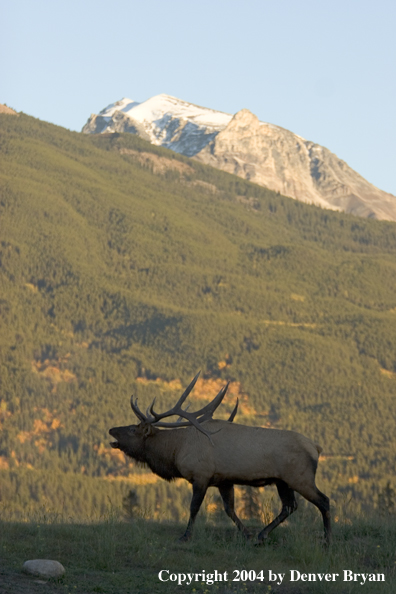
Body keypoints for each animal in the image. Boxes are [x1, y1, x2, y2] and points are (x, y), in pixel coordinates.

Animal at [109, 372, 332, 544]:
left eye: (133, 429)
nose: (111, 430)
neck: (176, 450)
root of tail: (316, 447)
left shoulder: (201, 475)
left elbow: (194, 507)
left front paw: (185, 537)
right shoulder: (224, 480)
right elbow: (229, 509)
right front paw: (247, 534)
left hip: (300, 477)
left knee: (323, 501)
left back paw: (327, 542)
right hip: (282, 481)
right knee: (289, 506)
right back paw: (262, 535)